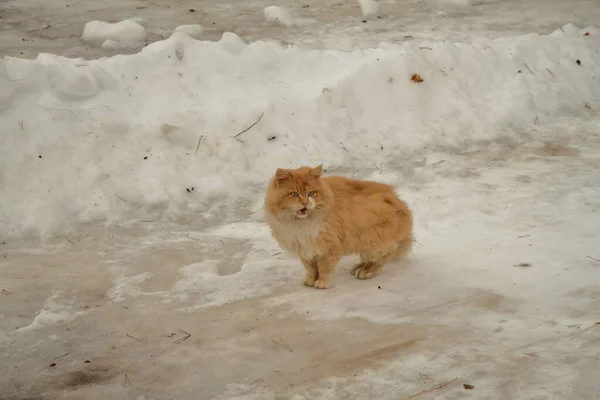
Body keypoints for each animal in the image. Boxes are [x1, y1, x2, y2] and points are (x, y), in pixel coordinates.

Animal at [264, 164, 412, 290]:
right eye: (294, 194)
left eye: (311, 193)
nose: (305, 203)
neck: (301, 224)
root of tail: (400, 204)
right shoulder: (304, 248)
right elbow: (311, 269)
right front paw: (310, 280)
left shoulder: (329, 248)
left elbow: (324, 268)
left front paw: (322, 283)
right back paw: (358, 267)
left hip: (373, 242)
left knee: (382, 258)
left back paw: (365, 271)